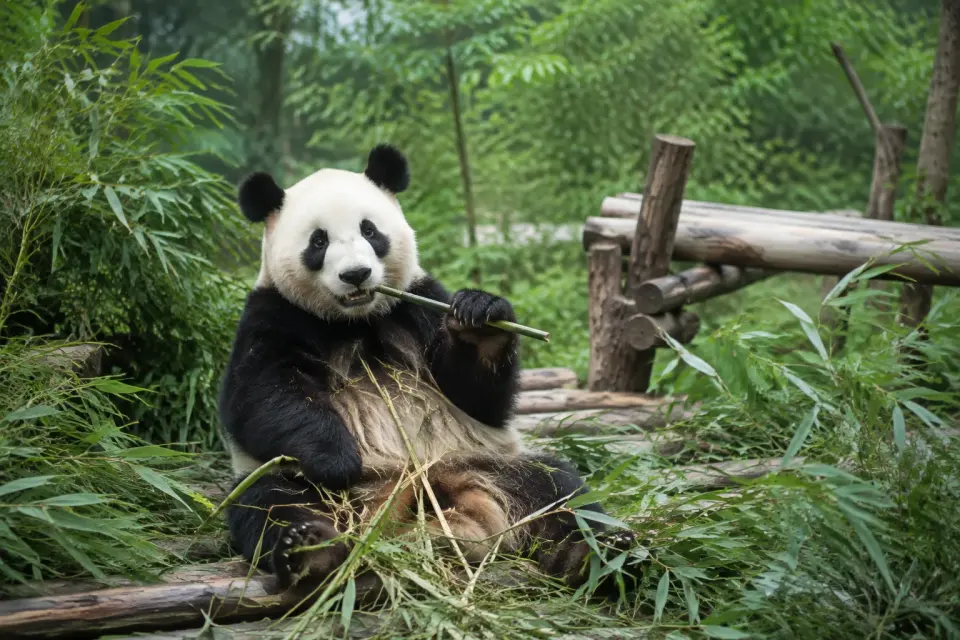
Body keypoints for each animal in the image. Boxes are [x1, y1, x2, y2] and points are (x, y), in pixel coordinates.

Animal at [219, 144, 638, 592]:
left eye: (370, 231)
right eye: (318, 241)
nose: (356, 275)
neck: (355, 319)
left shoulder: (418, 303)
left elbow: (478, 397)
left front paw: (481, 320)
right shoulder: (274, 314)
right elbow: (261, 396)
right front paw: (335, 459)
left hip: (488, 462)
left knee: (561, 491)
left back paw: (597, 553)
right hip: (302, 484)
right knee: (272, 502)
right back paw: (310, 550)